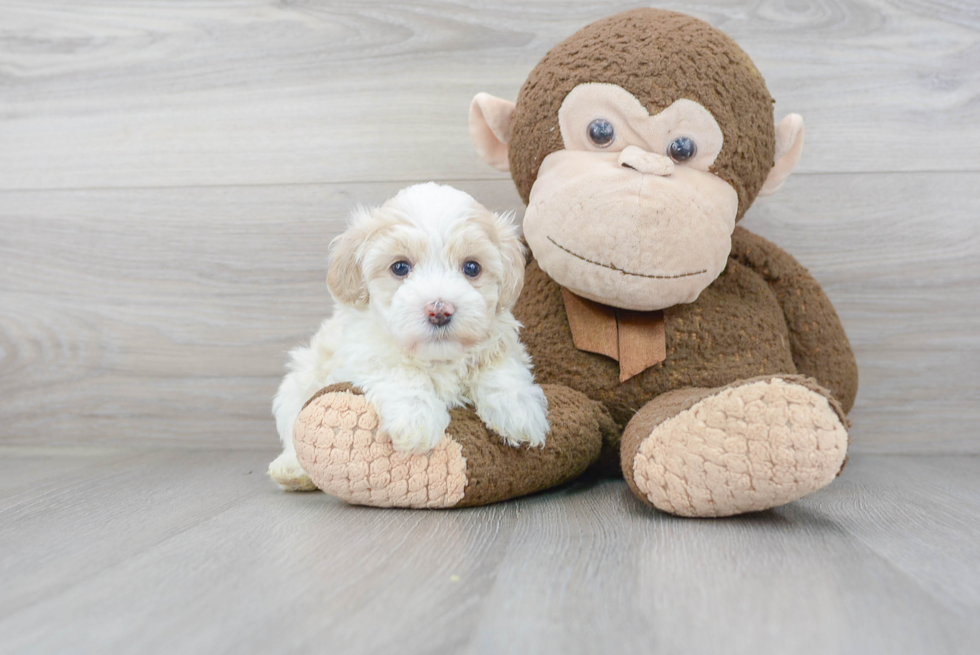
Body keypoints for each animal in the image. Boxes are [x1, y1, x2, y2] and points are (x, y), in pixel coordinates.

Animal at [268, 182, 552, 490]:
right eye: (400, 267)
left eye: (472, 267)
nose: (439, 310)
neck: (438, 357)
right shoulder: (363, 351)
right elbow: (400, 372)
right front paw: (416, 419)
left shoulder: (500, 340)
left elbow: (501, 369)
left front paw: (519, 411)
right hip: (299, 380)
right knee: (292, 428)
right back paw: (292, 469)